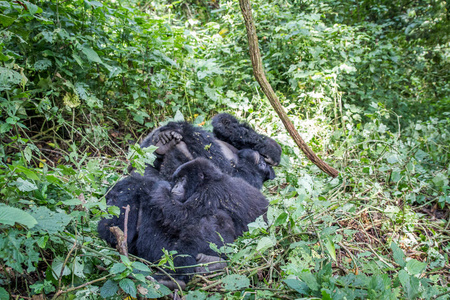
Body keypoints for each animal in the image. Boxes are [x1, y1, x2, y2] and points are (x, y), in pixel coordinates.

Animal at [134, 158, 268, 290]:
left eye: (182, 179)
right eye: (176, 180)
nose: (176, 185)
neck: (209, 180)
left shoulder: (208, 192)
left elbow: (182, 216)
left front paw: (161, 186)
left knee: (211, 219)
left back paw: (173, 276)